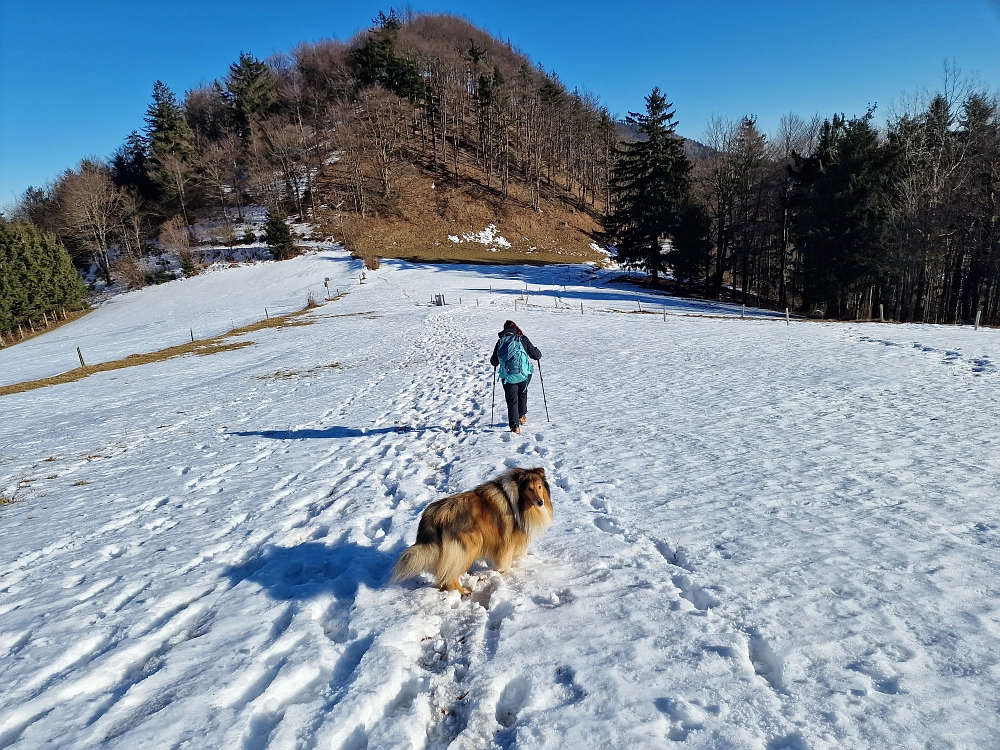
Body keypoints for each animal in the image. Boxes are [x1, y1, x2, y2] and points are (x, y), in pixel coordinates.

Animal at [390, 468, 552, 596]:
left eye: (539, 486)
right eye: (529, 489)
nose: (540, 502)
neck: (516, 497)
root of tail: (434, 515)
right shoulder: (507, 541)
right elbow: (505, 561)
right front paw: (504, 571)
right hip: (467, 549)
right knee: (450, 577)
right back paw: (463, 592)